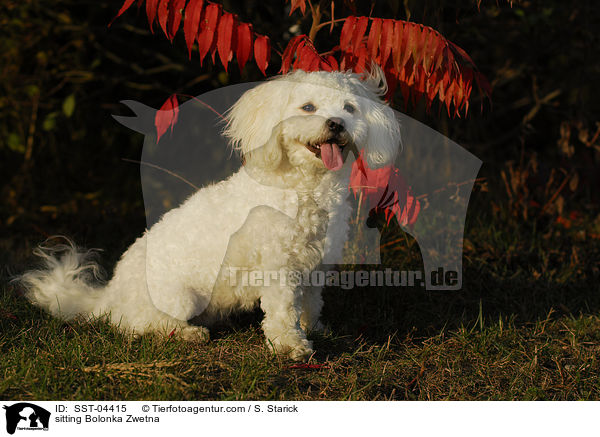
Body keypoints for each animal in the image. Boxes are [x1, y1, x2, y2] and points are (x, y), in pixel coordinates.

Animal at [18, 69, 400, 362]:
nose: (337, 124)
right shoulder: (278, 267)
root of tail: (108, 296)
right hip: (178, 298)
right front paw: (290, 346)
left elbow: (310, 303)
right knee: (136, 325)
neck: (303, 185)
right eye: (308, 107)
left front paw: (315, 329)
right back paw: (187, 333)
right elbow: (282, 311)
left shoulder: (315, 263)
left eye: (349, 108)